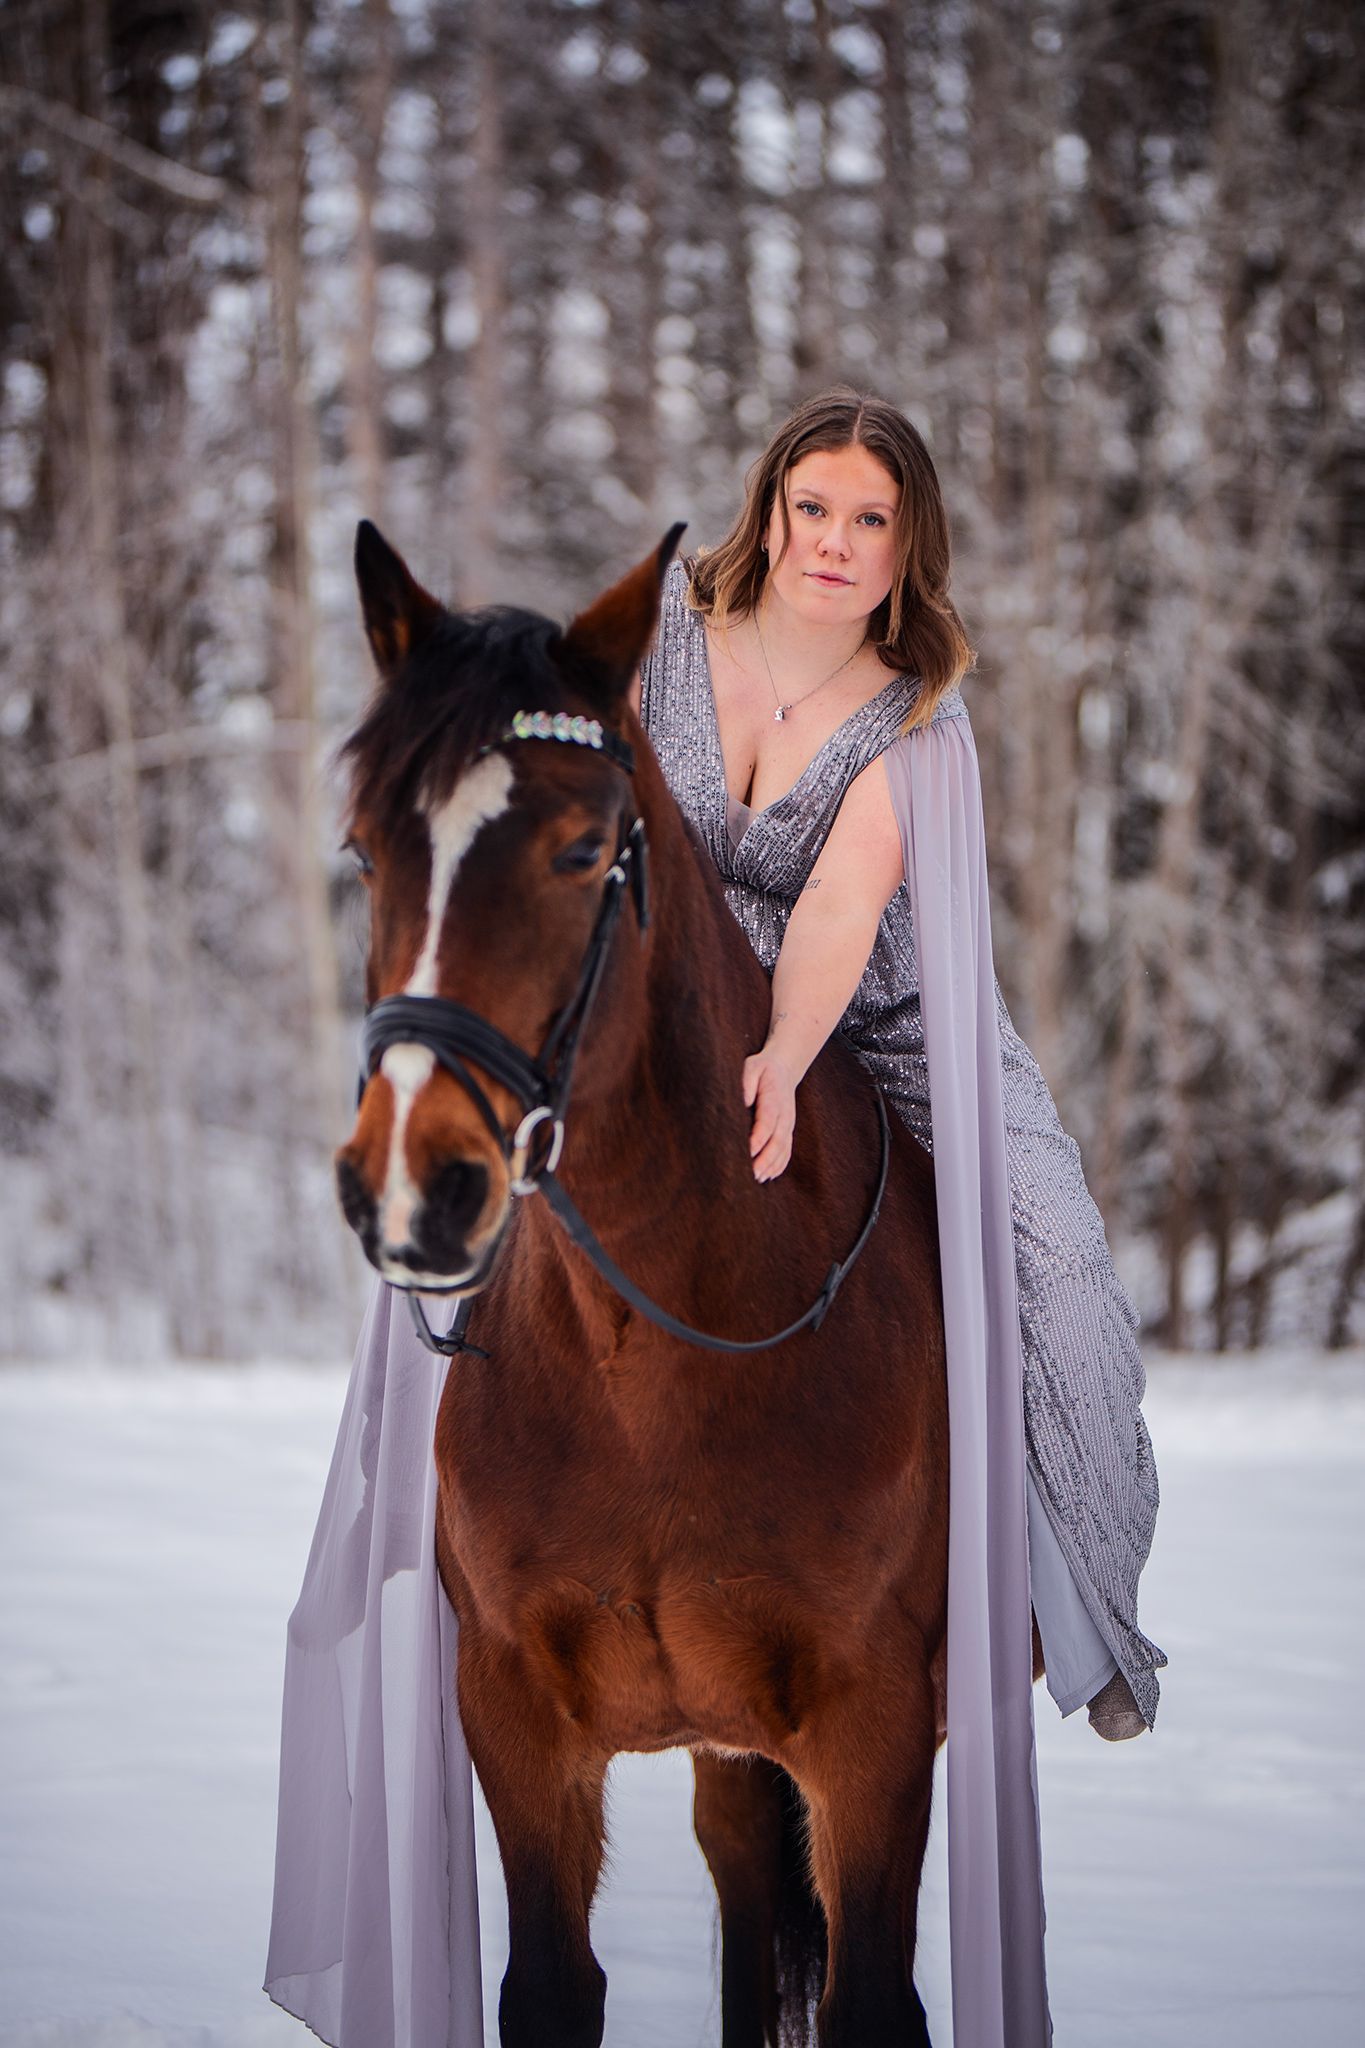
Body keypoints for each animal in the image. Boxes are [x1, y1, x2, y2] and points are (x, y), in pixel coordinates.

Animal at [334, 519, 950, 2048]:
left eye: (580, 850)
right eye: (364, 848)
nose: (412, 1185)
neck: (662, 1358)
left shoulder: (876, 1736)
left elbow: (868, 2000)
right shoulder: (515, 1718)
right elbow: (556, 1989)